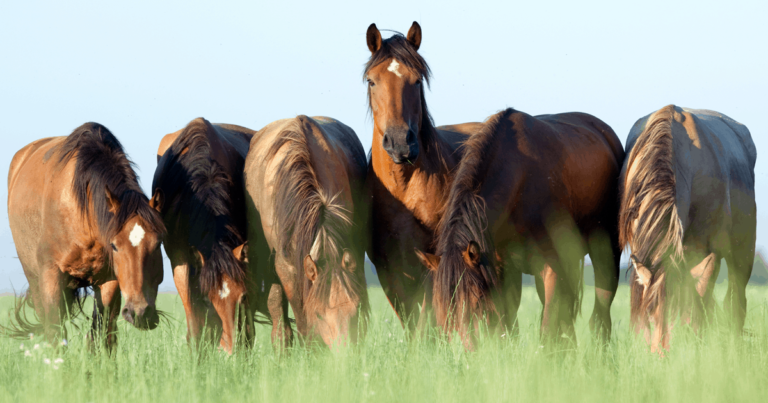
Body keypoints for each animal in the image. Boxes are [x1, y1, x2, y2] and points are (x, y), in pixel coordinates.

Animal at [5, 122, 165, 348]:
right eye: (114, 245)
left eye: (158, 243)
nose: (140, 313)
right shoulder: (51, 275)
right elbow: (54, 332)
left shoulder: (109, 281)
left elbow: (101, 335)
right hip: (34, 278)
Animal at [364, 22, 483, 330]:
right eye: (371, 81)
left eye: (417, 81)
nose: (400, 143)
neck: (404, 189)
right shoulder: (389, 269)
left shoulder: (433, 260)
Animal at [416, 108, 625, 350]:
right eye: (442, 307)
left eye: (476, 301)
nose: (468, 352)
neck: (519, 182)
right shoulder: (502, 270)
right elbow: (508, 325)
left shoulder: (552, 267)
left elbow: (548, 329)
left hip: (606, 255)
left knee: (600, 313)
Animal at [619, 105, 756, 353]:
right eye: (651, 314)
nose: (662, 356)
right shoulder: (640, 248)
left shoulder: (711, 253)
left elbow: (700, 303)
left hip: (743, 252)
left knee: (735, 303)